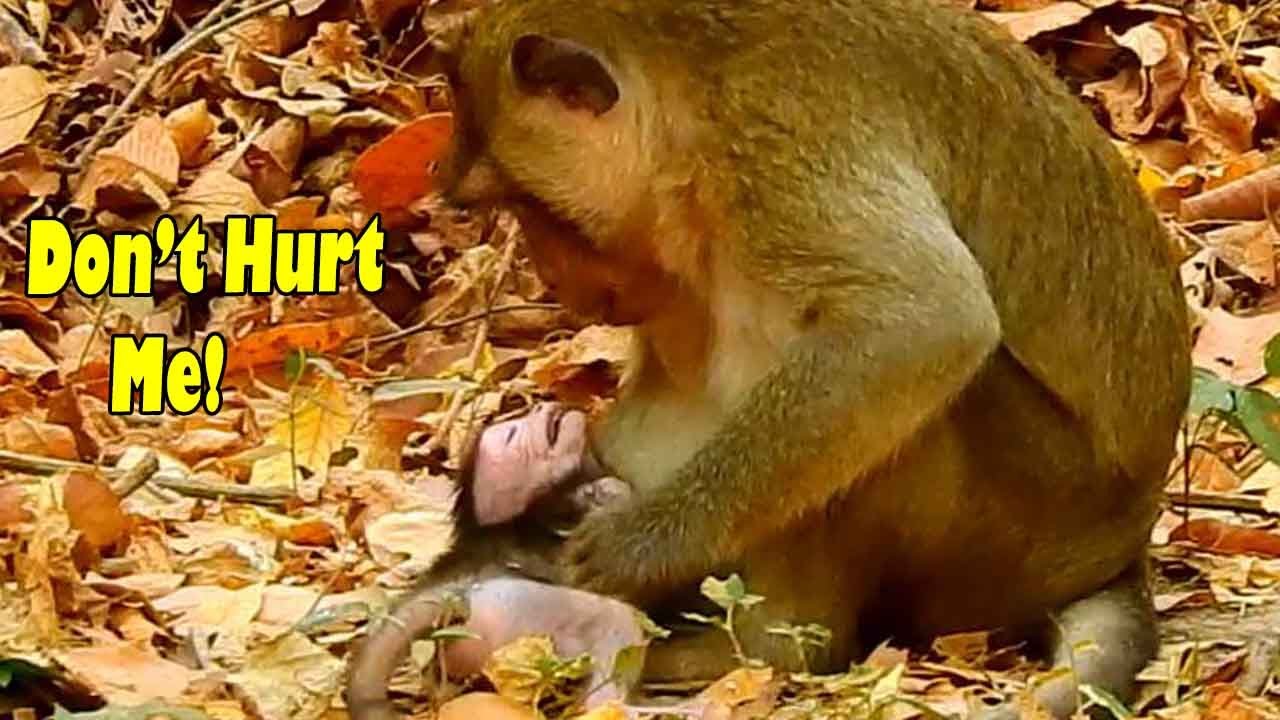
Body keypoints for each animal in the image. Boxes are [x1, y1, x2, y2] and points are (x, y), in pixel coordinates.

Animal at [412, 1, 1194, 717]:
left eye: (530, 205)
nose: (549, 276)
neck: (688, 102)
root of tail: (1119, 550)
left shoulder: (771, 146)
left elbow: (926, 318)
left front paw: (633, 550)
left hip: (1019, 532)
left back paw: (775, 646)